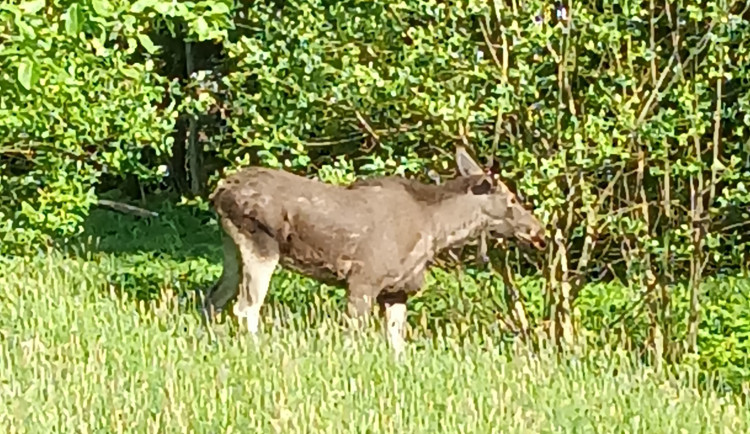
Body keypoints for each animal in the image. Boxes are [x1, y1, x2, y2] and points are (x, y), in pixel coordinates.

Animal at [203, 147, 548, 354]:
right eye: (512, 199)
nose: (539, 230)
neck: (436, 229)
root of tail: (218, 190)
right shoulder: (363, 280)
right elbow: (353, 336)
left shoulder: (397, 291)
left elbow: (397, 344)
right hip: (260, 245)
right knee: (246, 308)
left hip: (231, 250)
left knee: (213, 300)